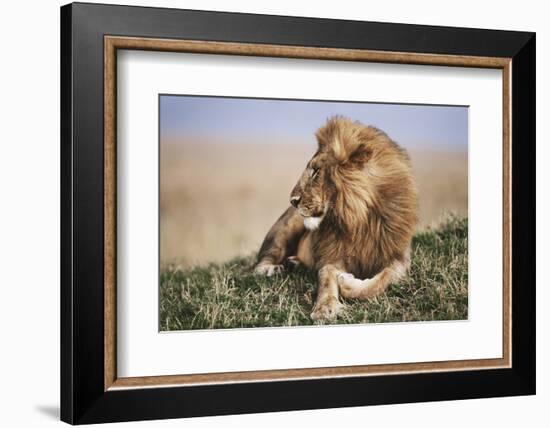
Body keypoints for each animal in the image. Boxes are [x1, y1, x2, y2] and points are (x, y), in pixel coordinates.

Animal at [256, 115, 420, 320]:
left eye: (316, 171)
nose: (293, 200)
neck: (358, 220)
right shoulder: (333, 256)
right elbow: (326, 277)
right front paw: (325, 308)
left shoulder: (399, 257)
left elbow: (382, 280)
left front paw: (347, 282)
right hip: (285, 228)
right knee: (260, 263)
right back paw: (274, 269)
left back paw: (294, 263)